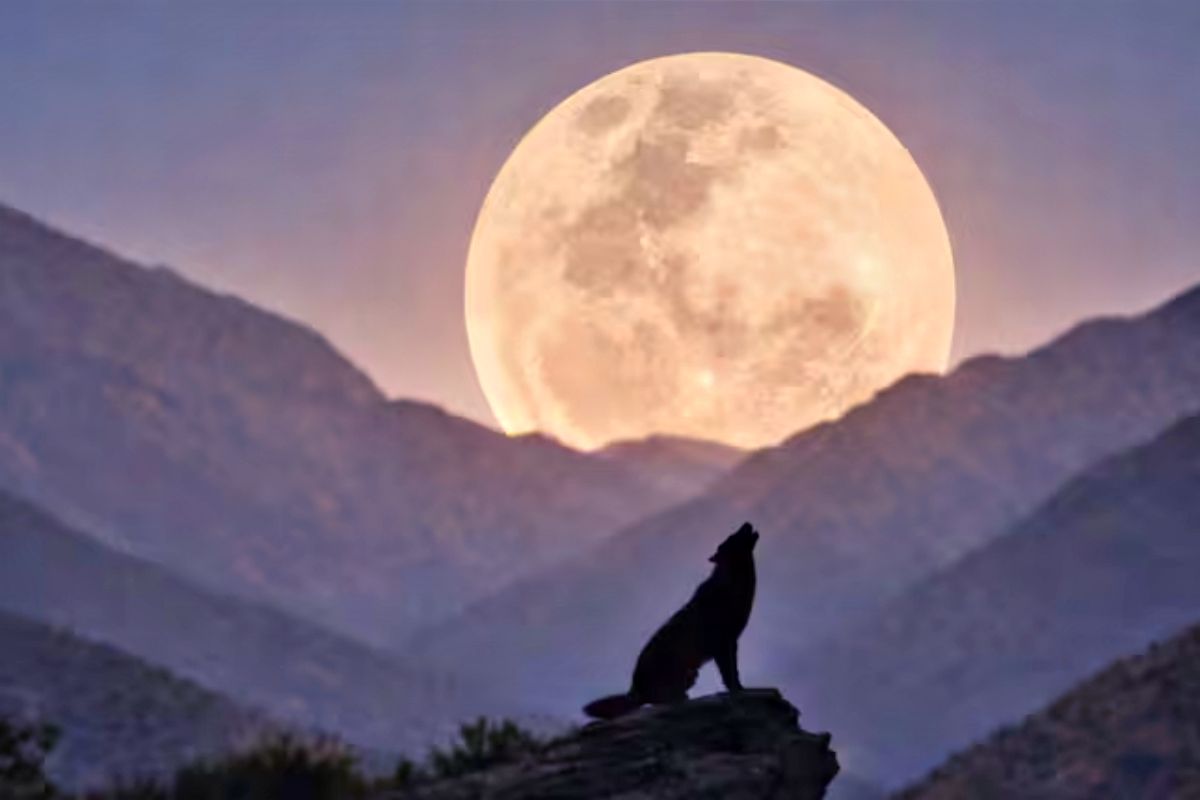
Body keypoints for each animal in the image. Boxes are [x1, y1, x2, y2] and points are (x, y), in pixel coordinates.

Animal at [583, 521, 759, 720]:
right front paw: (737, 690)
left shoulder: (732, 643)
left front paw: (742, 688)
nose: (746, 523)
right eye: (732, 536)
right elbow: (729, 674)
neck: (733, 585)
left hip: (691, 674)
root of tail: (633, 690)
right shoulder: (722, 645)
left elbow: (735, 672)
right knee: (657, 700)